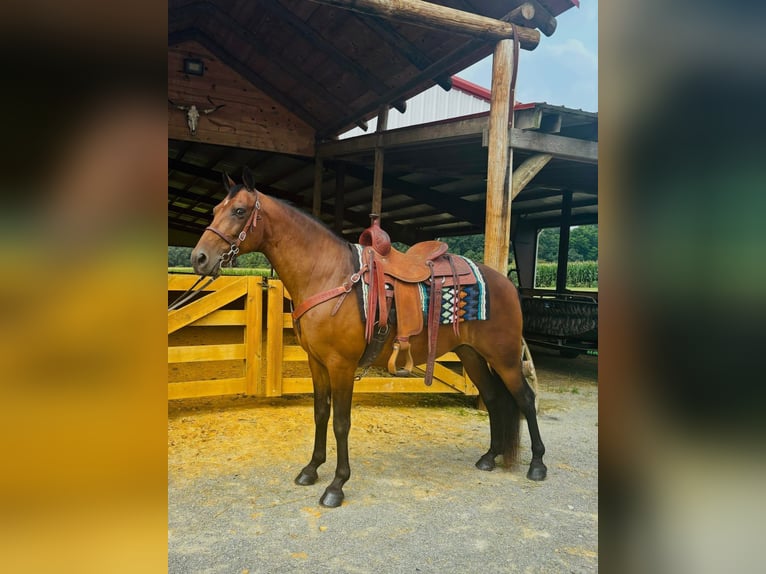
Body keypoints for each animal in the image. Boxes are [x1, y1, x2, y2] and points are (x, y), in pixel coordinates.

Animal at [195, 168, 548, 508]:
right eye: (215, 210)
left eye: (239, 211)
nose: (199, 258)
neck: (329, 275)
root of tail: (505, 283)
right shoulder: (316, 362)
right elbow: (320, 413)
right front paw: (311, 469)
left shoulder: (341, 365)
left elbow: (341, 421)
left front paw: (337, 485)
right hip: (471, 354)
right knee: (493, 398)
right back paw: (490, 457)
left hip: (504, 357)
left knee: (525, 399)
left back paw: (537, 465)